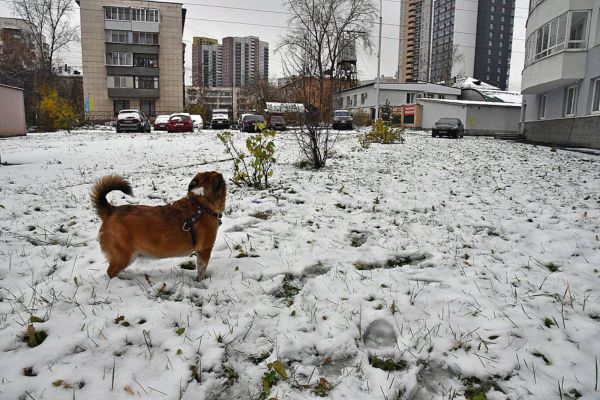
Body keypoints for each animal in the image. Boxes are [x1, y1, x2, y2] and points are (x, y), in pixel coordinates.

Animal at [90, 173, 226, 282]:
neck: (201, 204)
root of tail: (111, 210)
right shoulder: (205, 250)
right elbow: (201, 269)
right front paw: (200, 281)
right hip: (123, 256)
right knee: (110, 272)